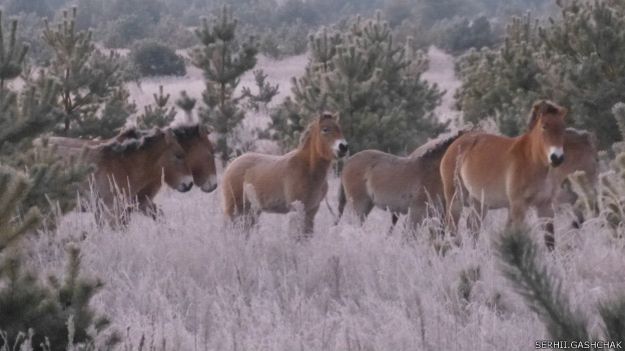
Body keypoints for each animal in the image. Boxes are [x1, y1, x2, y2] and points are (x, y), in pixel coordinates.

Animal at [438, 99, 564, 250]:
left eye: (563, 127)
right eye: (544, 126)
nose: (557, 157)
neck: (532, 159)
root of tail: (454, 146)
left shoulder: (545, 206)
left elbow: (550, 241)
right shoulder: (517, 206)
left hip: (479, 203)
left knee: (472, 227)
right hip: (456, 200)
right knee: (452, 229)